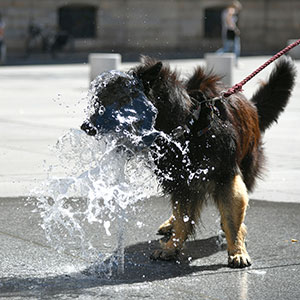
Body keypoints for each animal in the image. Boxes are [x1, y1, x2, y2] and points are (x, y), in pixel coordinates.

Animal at [81, 55, 296, 268]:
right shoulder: (180, 181)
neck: (186, 127)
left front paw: (237, 250)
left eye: (120, 100)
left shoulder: (225, 177)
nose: (85, 127)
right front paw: (171, 247)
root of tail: (251, 106)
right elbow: (182, 219)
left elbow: (231, 219)